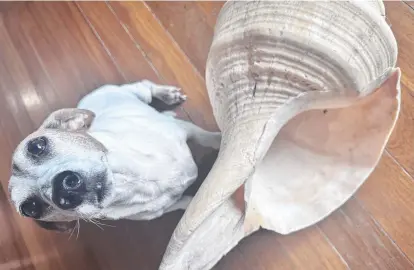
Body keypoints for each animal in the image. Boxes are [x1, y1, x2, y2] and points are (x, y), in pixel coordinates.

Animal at [7, 80, 220, 232]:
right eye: (31, 208)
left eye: (37, 146)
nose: (62, 189)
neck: (131, 181)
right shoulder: (164, 209)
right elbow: (186, 203)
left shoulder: (184, 129)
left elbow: (205, 137)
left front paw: (220, 140)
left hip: (137, 93)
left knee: (145, 86)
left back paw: (168, 94)